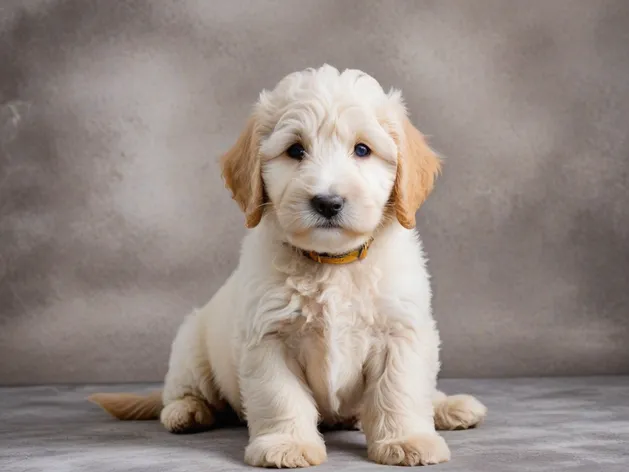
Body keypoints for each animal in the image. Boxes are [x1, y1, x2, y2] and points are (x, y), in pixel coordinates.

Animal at [91, 64, 488, 466]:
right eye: (295, 150)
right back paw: (186, 411)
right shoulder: (269, 337)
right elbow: (281, 396)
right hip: (190, 345)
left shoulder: (402, 330)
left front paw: (406, 439)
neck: (333, 263)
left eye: (362, 149)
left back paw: (448, 406)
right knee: (184, 390)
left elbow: (399, 389)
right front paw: (287, 444)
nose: (327, 202)